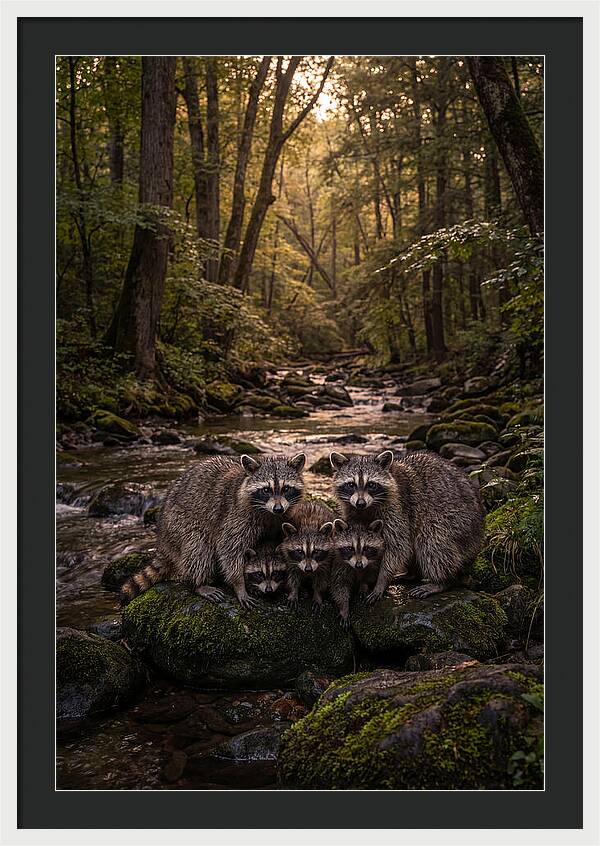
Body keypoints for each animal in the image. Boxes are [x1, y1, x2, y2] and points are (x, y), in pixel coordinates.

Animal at [121, 452, 306, 608]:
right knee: (198, 548)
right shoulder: (236, 516)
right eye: (266, 490)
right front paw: (239, 584)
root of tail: (162, 539)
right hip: (178, 524)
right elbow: (229, 550)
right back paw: (198, 583)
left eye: (286, 488)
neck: (269, 513)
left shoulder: (282, 518)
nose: (278, 508)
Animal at [329, 449, 485, 601]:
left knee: (432, 541)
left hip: (457, 522)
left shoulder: (397, 508)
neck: (367, 508)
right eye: (351, 485)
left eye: (371, 485)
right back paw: (412, 574)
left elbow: (398, 546)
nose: (360, 503)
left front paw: (381, 580)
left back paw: (441, 581)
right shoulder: (351, 509)